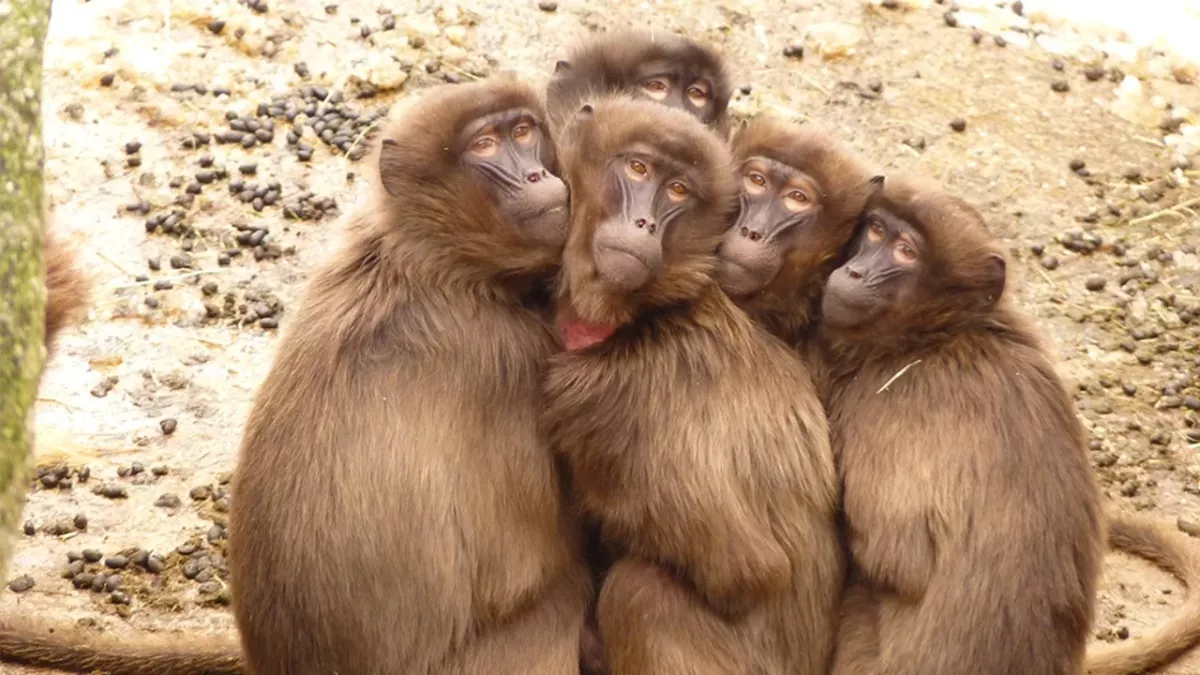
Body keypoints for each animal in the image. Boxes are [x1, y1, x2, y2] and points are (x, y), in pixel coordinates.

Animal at [542, 95, 842, 675]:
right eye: (638, 169)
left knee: (639, 592)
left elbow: (747, 571)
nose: (644, 221)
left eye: (678, 191)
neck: (646, 315)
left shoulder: (617, 398)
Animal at [818, 174, 1200, 675]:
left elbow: (894, 557)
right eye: (876, 231)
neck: (941, 335)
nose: (856, 272)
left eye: (905, 251)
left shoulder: (891, 400)